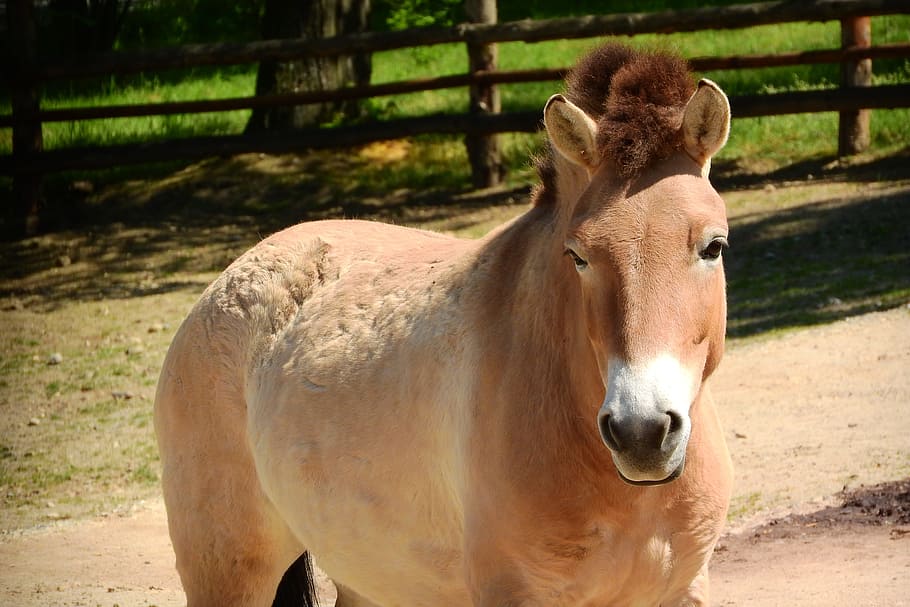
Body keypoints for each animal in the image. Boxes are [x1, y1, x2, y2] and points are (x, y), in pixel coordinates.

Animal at [157, 44, 736, 607]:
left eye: (713, 246)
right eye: (578, 257)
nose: (642, 433)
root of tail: (232, 274)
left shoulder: (686, 589)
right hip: (227, 573)